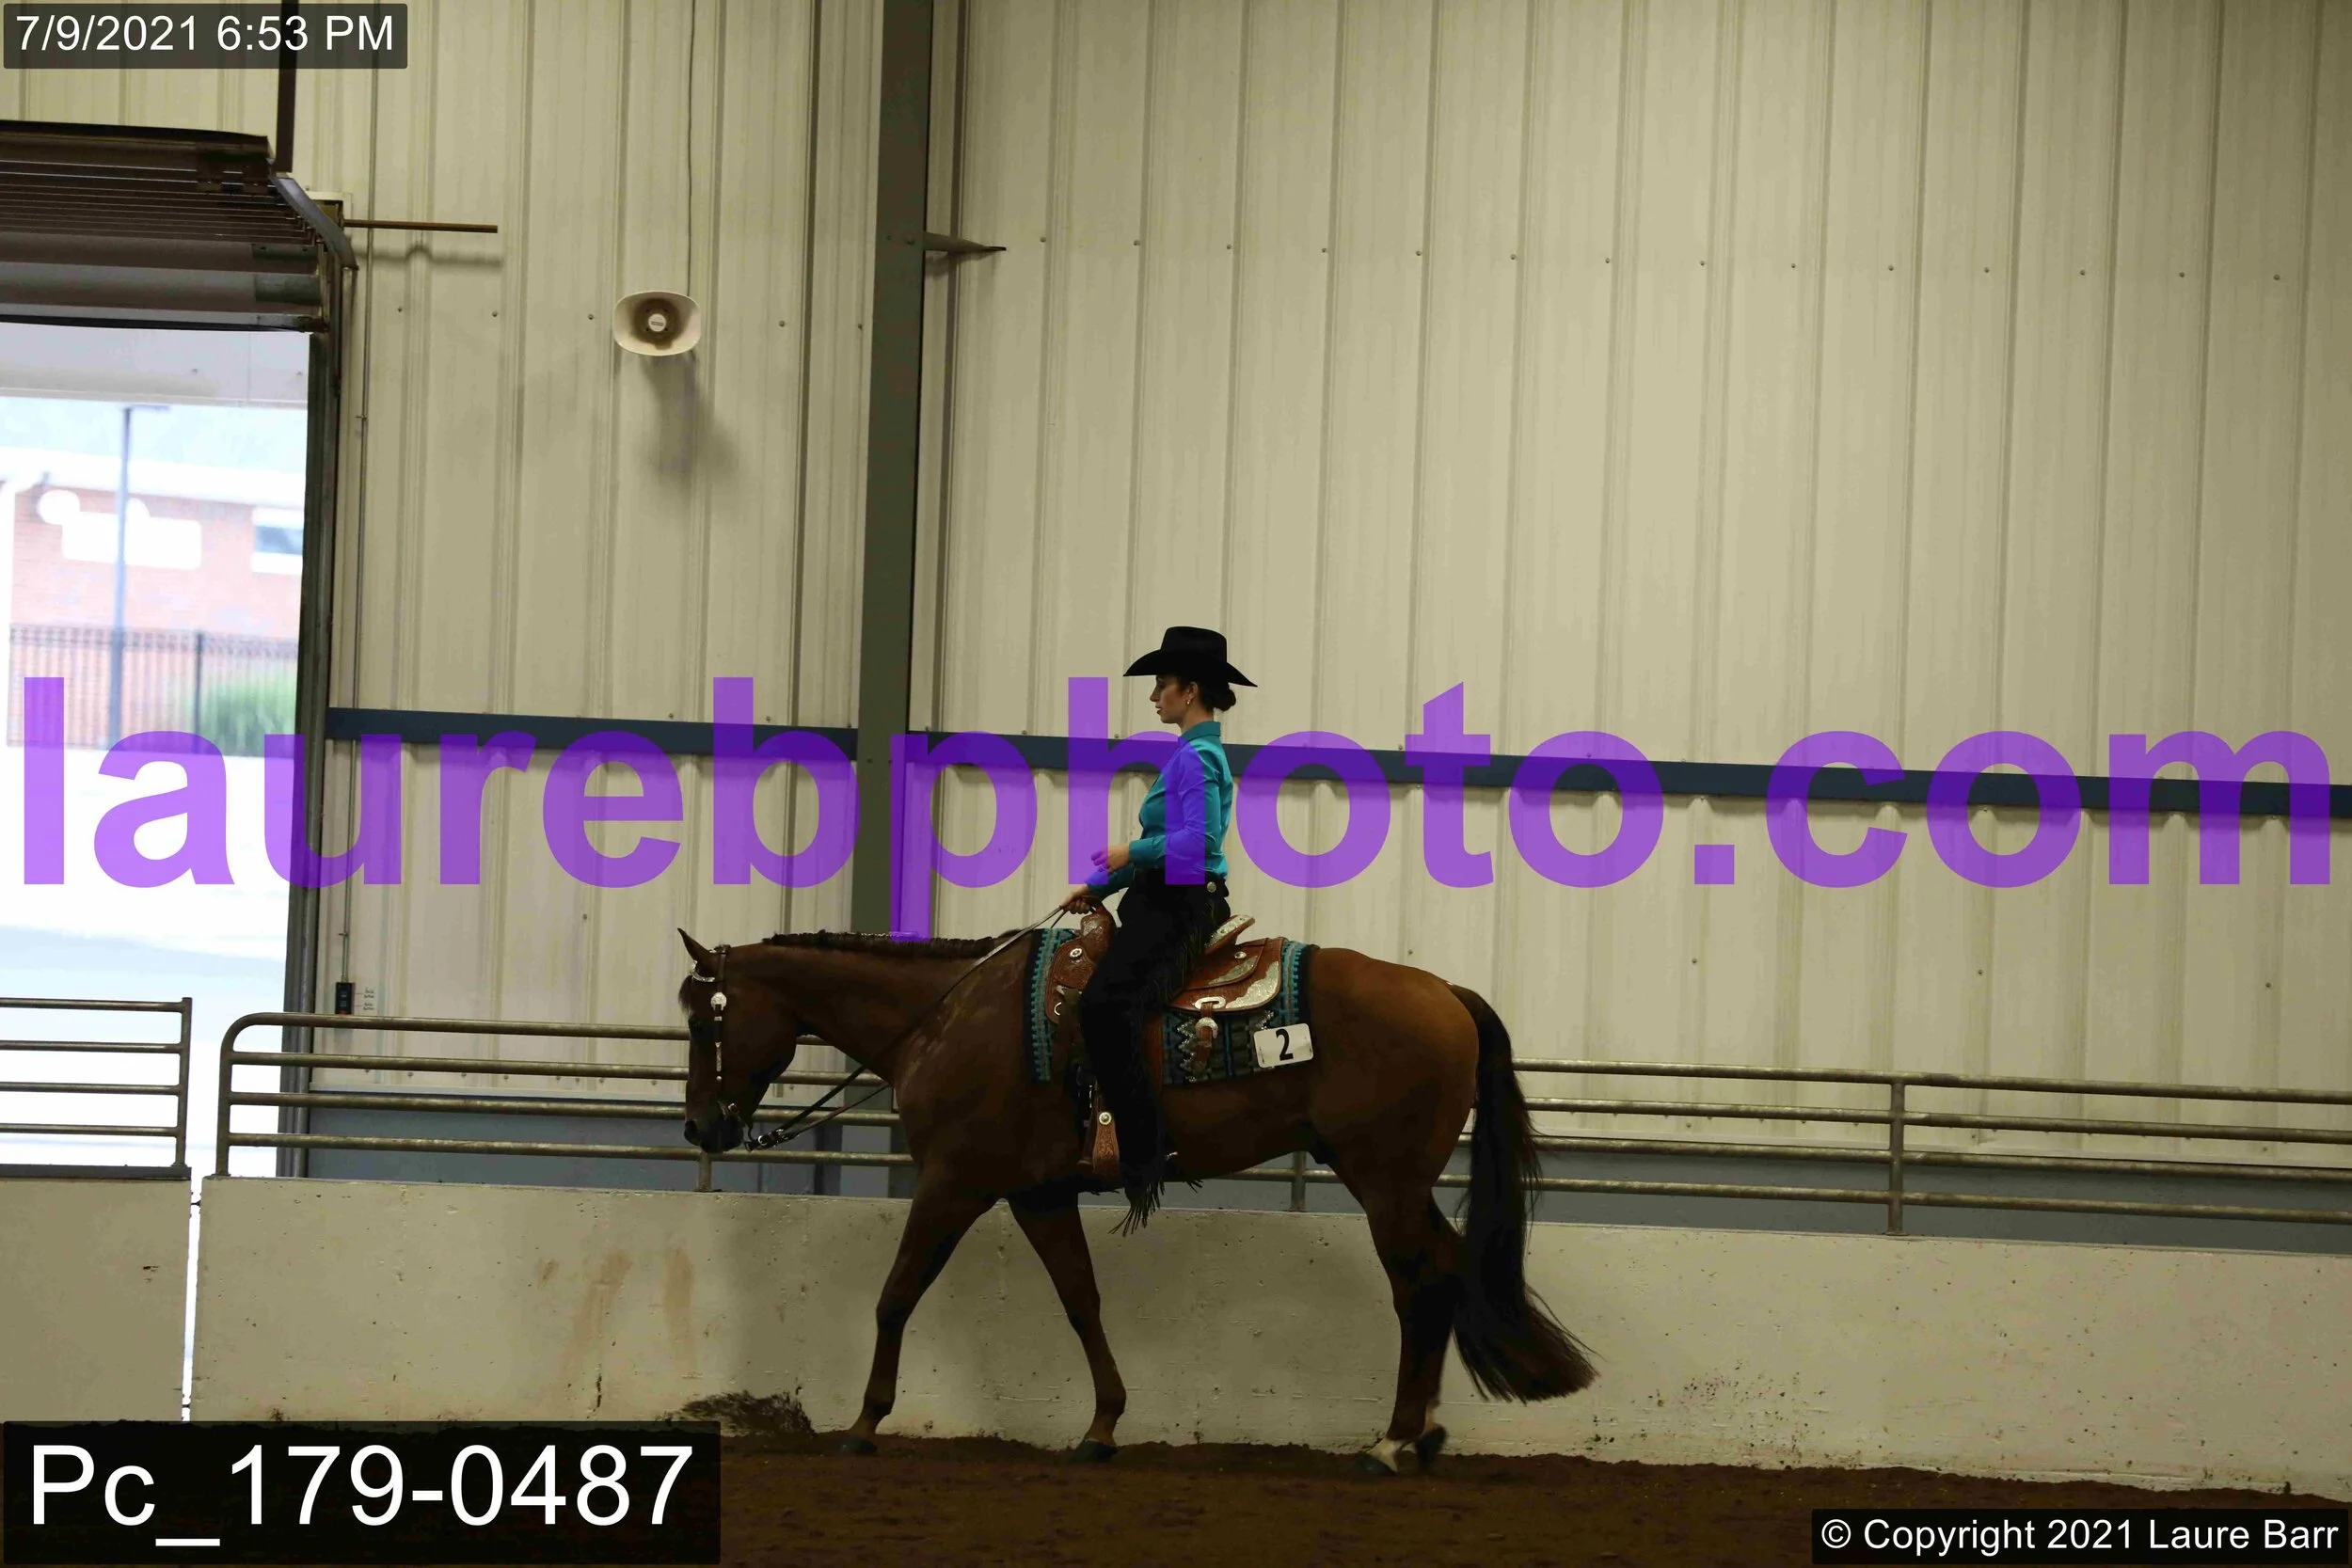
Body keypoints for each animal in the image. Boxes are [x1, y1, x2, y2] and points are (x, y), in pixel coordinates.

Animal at [673, 924, 1594, 1473]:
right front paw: (1102, 1425)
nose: (700, 1127)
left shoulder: (953, 1181)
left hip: (1385, 1181)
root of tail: (1449, 996)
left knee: (1420, 1287)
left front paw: (864, 1423)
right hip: (1395, 1180)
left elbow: (897, 1293)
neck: (947, 1017)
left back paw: (1395, 1439)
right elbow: (1081, 1299)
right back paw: (1423, 1433)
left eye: (704, 1021)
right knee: (1445, 1272)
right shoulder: (1037, 1194)